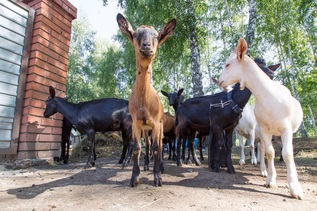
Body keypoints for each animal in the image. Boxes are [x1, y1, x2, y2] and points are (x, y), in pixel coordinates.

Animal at [116, 14, 175, 187]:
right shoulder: (136, 122)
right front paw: (134, 178)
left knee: (160, 145)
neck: (144, 103)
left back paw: (160, 167)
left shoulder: (155, 122)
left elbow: (157, 147)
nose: (147, 46)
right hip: (145, 128)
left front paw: (157, 178)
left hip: (159, 125)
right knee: (147, 144)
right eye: (135, 34)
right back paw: (147, 165)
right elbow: (137, 147)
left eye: (156, 36)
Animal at [218, 38, 302, 199]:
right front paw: (271, 181)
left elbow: (287, 154)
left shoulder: (286, 128)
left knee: (283, 150)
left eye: (228, 64)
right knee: (263, 149)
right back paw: (264, 170)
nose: (219, 80)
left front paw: (295, 189)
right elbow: (269, 152)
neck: (269, 97)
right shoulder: (264, 129)